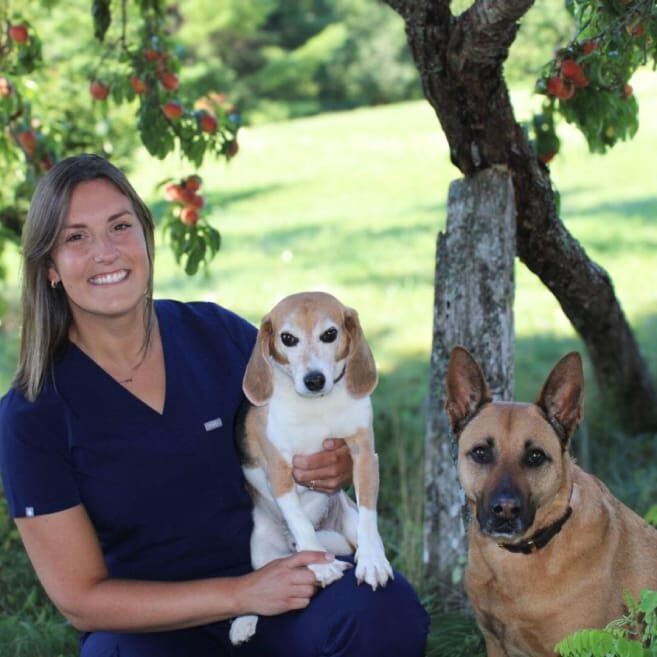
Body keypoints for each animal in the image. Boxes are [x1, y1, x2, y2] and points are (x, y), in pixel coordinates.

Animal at [229, 290, 392, 644]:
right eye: (288, 339)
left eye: (329, 334)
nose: (314, 380)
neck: (317, 406)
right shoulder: (279, 471)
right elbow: (300, 522)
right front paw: (320, 565)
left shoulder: (364, 456)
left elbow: (370, 518)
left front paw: (373, 561)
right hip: (260, 547)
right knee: (257, 586)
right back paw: (244, 622)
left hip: (346, 523)